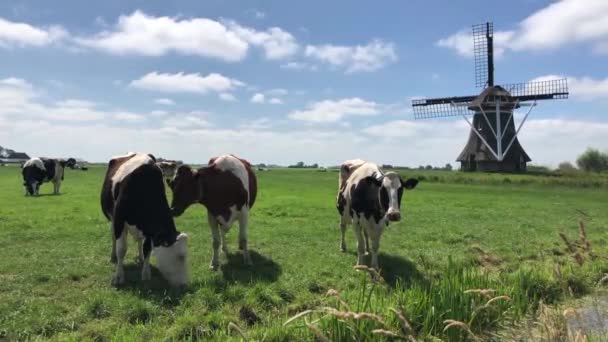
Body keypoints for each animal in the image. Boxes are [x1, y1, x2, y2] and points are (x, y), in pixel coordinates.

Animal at [101, 152, 189, 286]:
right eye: (180, 257)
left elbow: (147, 248)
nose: (184, 284)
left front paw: (146, 274)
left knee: (139, 240)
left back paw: (141, 257)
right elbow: (121, 249)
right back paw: (113, 257)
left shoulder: (149, 230)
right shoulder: (119, 220)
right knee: (114, 238)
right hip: (113, 220)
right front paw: (118, 276)